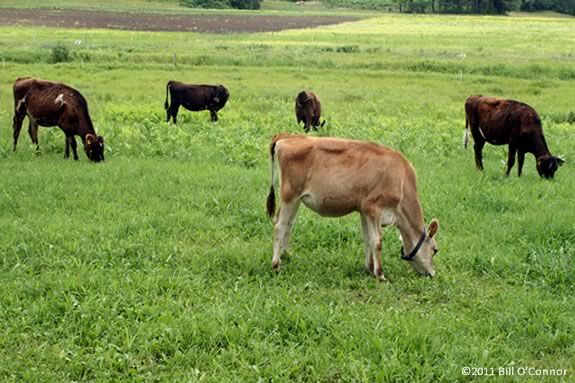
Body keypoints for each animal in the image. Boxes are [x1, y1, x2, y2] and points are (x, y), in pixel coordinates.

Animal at [266, 135, 440, 282]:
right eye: (435, 250)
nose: (432, 273)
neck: (402, 181)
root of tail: (287, 136)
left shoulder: (364, 210)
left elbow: (367, 238)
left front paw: (369, 268)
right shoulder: (374, 207)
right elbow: (377, 241)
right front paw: (380, 274)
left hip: (296, 199)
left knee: (288, 224)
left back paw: (286, 255)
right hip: (289, 195)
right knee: (279, 226)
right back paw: (276, 265)